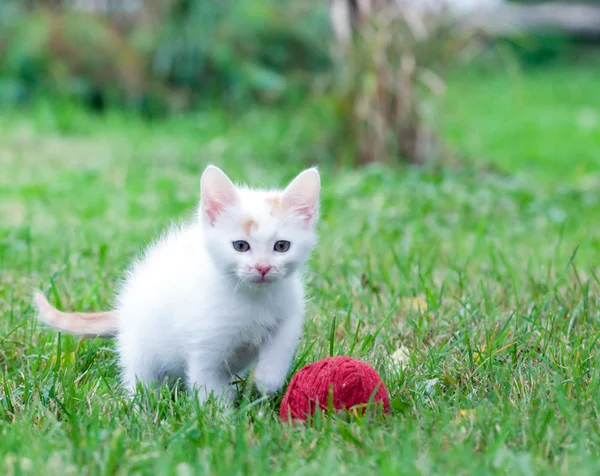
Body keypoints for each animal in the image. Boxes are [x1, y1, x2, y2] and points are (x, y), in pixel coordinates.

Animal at [34, 165, 322, 404]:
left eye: (281, 246)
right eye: (241, 246)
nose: (263, 268)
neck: (252, 298)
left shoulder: (290, 307)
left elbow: (283, 339)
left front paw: (267, 379)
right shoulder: (204, 344)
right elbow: (207, 384)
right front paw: (220, 420)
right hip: (139, 348)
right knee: (139, 377)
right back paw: (140, 407)